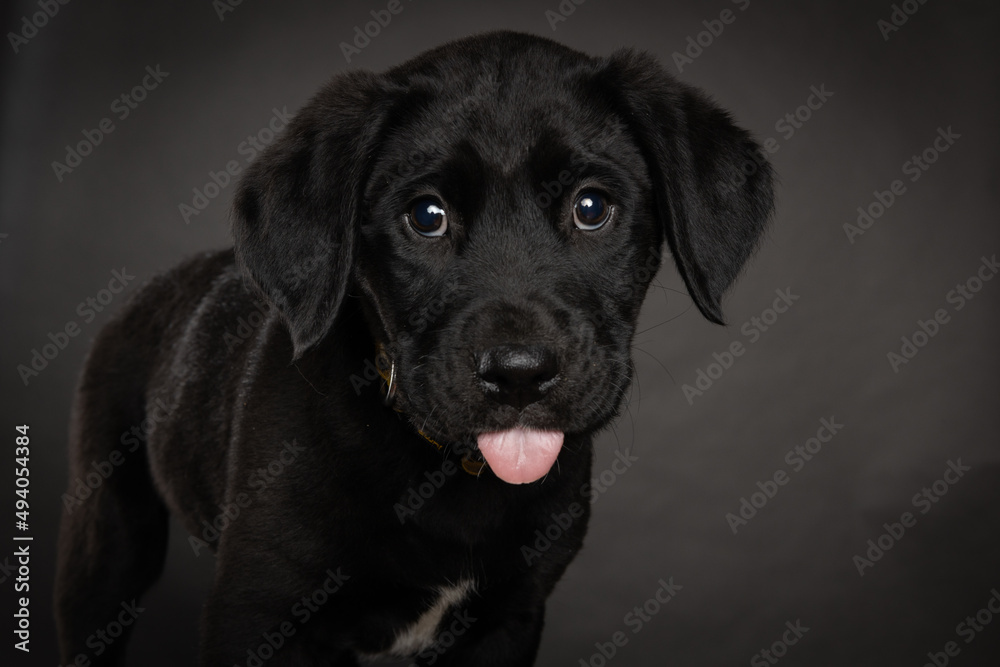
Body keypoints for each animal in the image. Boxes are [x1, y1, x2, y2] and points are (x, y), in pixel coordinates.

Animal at [54, 28, 772, 664]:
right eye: (427, 217)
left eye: (591, 208)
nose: (519, 374)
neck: (450, 476)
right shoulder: (258, 617)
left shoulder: (509, 621)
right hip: (105, 544)